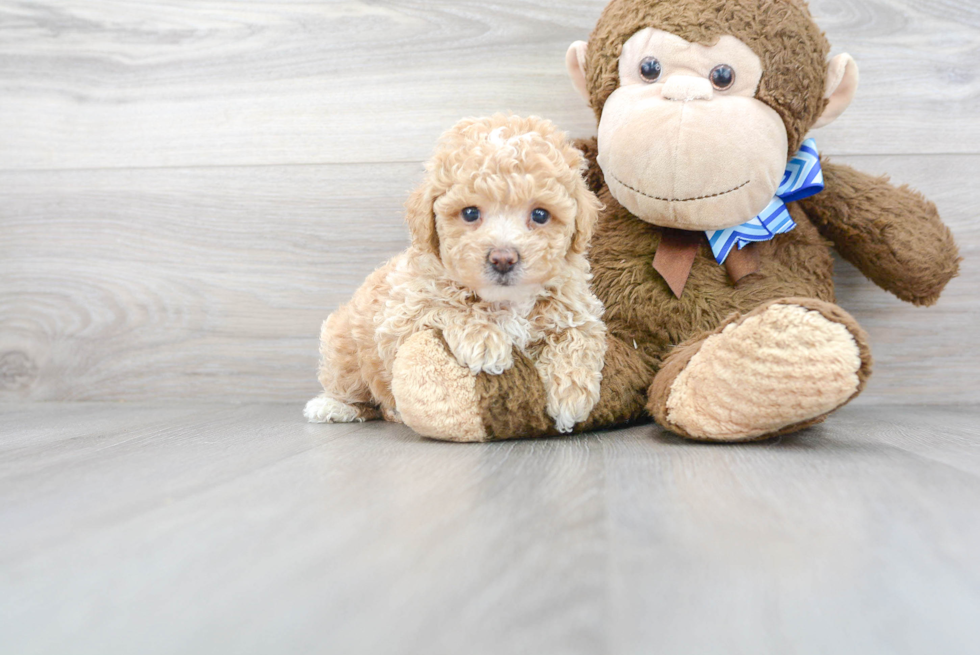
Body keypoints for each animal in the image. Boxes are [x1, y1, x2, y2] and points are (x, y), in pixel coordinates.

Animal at [302, 115, 604, 436]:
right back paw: (333, 406)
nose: (503, 259)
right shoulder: (403, 314)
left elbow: (578, 338)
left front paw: (571, 393)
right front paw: (484, 339)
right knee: (352, 387)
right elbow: (449, 307)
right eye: (470, 213)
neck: (507, 301)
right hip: (344, 346)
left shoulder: (579, 310)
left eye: (540, 215)